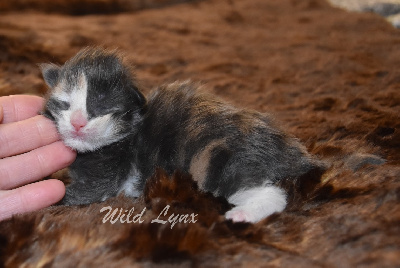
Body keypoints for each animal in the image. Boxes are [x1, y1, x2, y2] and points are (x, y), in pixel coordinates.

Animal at [40, 47, 324, 222]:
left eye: (101, 108)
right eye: (65, 104)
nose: (77, 123)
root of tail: (292, 151)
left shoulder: (106, 173)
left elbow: (79, 193)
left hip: (214, 158)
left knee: (274, 195)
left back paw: (242, 214)